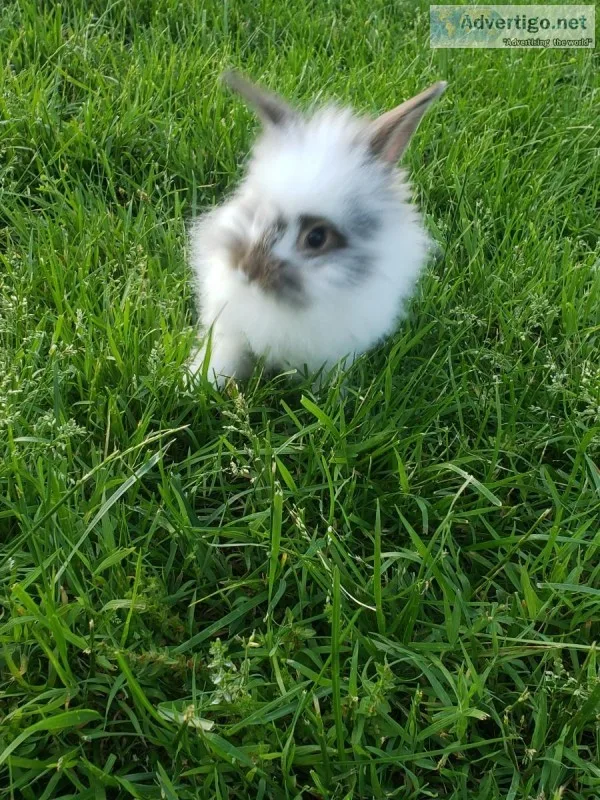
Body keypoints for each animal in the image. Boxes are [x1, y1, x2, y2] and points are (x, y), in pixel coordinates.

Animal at [187, 70, 446, 387]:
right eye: (258, 214)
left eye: (317, 238)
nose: (247, 271)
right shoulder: (231, 327)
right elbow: (225, 354)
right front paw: (194, 382)